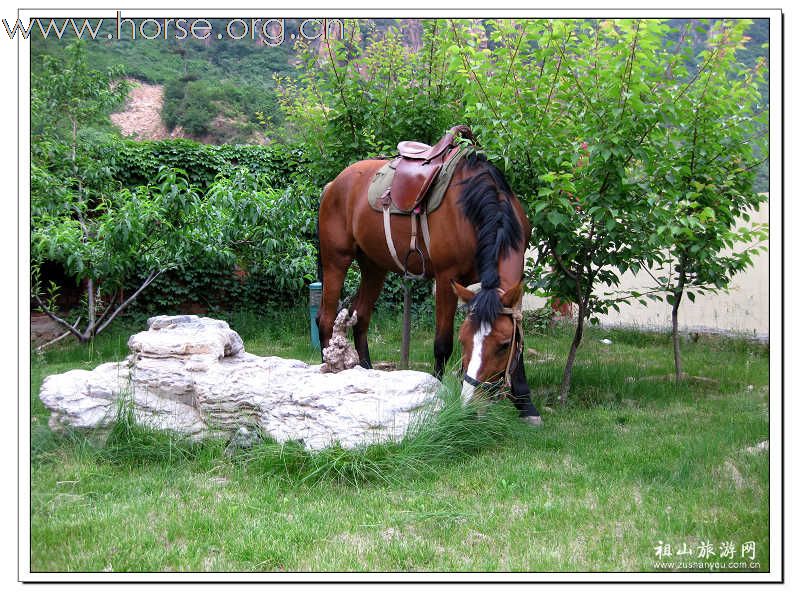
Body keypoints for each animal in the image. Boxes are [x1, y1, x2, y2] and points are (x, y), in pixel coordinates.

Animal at [316, 150, 540, 422]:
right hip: (336, 261)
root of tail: (333, 184)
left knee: (361, 317)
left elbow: (521, 341)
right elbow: (442, 343)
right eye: (464, 340)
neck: (474, 209)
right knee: (326, 318)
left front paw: (526, 405)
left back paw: (368, 372)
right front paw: (437, 393)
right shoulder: (446, 278)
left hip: (374, 267)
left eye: (504, 345)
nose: (472, 404)